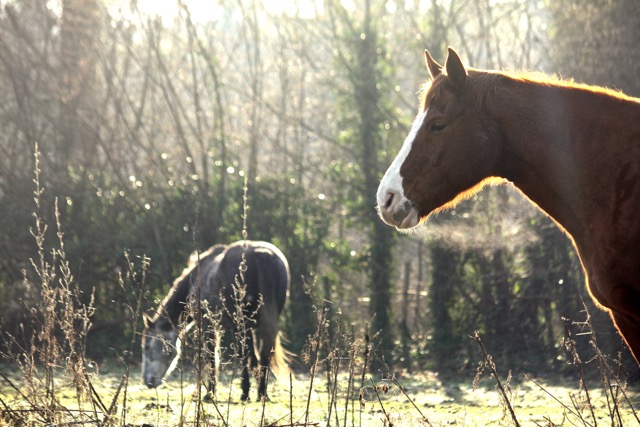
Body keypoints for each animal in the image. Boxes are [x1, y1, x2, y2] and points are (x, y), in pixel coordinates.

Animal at [142, 241, 290, 402]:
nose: (148, 382)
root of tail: (261, 255)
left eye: (146, 347)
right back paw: (262, 393)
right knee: (263, 355)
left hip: (241, 325)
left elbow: (212, 357)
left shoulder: (208, 325)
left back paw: (246, 393)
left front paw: (210, 393)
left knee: (246, 355)